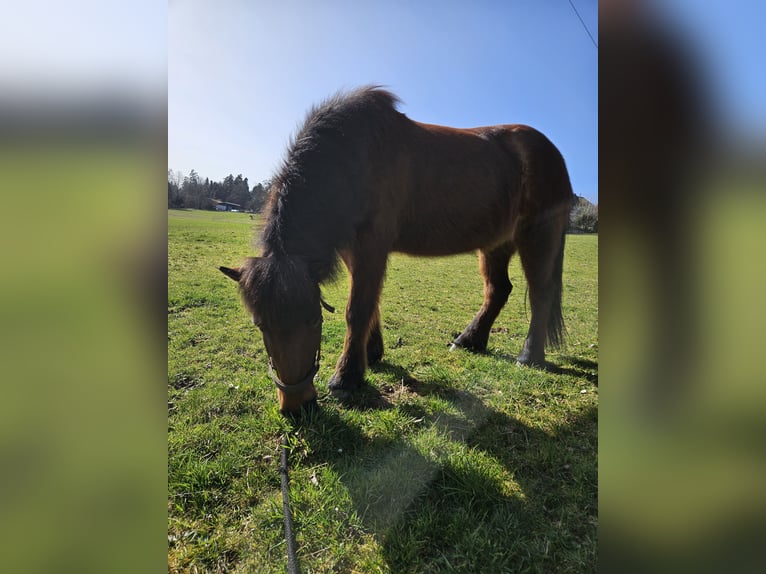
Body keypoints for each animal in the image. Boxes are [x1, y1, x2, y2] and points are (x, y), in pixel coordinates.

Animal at [220, 86, 573, 414]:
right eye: (261, 325)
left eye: (312, 320)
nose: (297, 406)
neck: (353, 157)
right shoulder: (353, 250)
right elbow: (369, 303)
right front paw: (372, 354)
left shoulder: (371, 244)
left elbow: (357, 309)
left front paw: (346, 377)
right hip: (495, 243)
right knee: (498, 290)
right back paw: (469, 341)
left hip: (537, 236)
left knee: (540, 293)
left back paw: (528, 356)